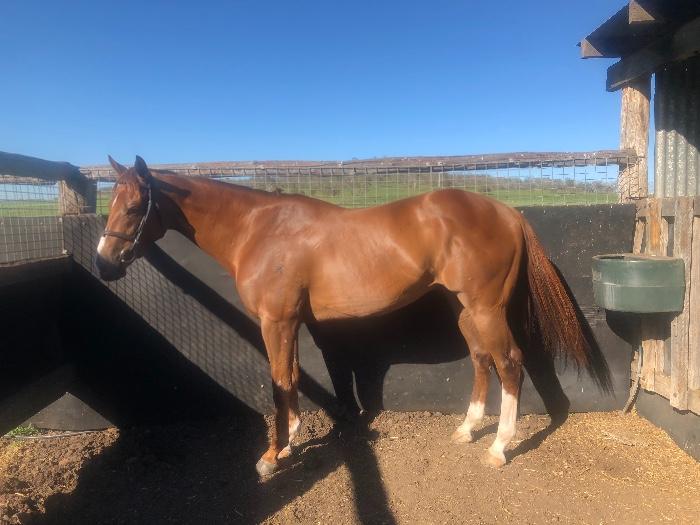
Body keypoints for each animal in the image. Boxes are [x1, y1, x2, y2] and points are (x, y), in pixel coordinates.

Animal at [95, 156, 609, 476]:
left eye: (135, 206)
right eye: (110, 204)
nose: (103, 264)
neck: (260, 230)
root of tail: (506, 212)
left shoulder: (276, 322)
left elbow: (279, 381)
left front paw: (272, 455)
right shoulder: (294, 324)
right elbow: (292, 377)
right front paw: (292, 437)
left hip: (487, 308)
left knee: (509, 363)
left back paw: (499, 448)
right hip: (466, 310)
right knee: (483, 359)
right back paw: (467, 429)